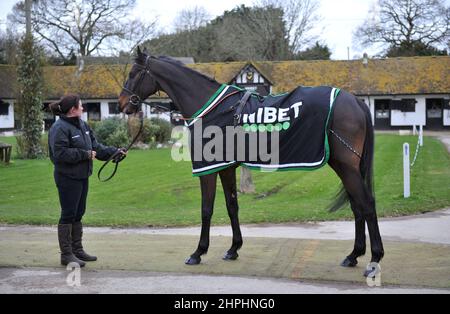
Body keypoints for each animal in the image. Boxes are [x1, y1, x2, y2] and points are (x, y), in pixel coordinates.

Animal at [117, 46, 384, 274]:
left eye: (133, 73)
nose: (122, 104)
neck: (211, 107)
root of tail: (355, 100)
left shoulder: (208, 169)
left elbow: (206, 209)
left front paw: (198, 252)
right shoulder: (225, 167)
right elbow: (231, 206)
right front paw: (233, 249)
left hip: (346, 166)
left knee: (367, 204)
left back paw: (374, 258)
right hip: (344, 166)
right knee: (357, 206)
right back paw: (353, 255)